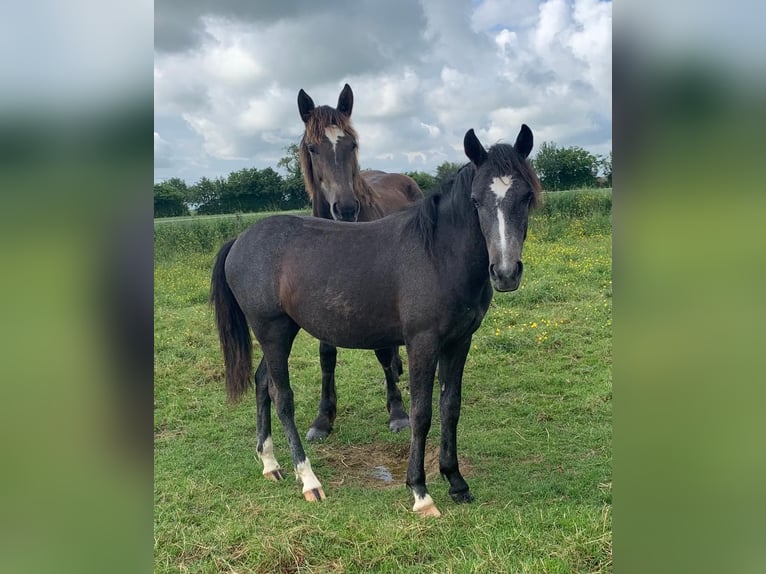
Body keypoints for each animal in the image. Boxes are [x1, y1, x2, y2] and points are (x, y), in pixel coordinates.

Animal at [213, 128, 544, 520]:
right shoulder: (422, 343)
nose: (505, 273)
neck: (438, 254)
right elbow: (421, 413)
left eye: (526, 196)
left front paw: (456, 482)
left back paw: (270, 463)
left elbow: (450, 407)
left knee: (262, 382)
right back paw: (309, 480)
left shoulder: (459, 342)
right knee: (282, 397)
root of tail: (240, 240)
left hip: (281, 332)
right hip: (272, 331)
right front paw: (420, 492)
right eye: (476, 201)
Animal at [296, 84, 424, 440]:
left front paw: (397, 412)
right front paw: (323, 418)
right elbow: (327, 355)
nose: (346, 208)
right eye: (312, 148)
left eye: (351, 144)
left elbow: (381, 352)